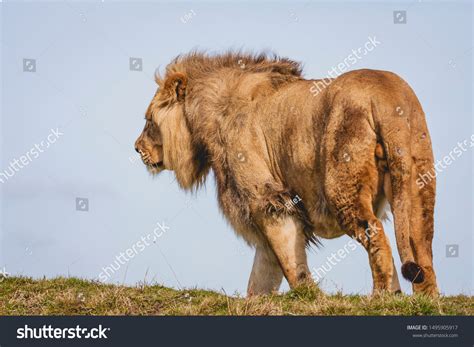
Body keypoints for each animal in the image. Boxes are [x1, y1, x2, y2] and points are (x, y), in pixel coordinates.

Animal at [133, 51, 436, 296]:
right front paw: (258, 301)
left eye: (148, 120)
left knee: (375, 234)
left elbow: (289, 262)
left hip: (341, 186)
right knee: (421, 246)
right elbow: (263, 271)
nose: (136, 148)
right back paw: (422, 299)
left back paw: (381, 296)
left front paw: (310, 297)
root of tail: (386, 96)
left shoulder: (267, 198)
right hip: (419, 180)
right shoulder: (263, 207)